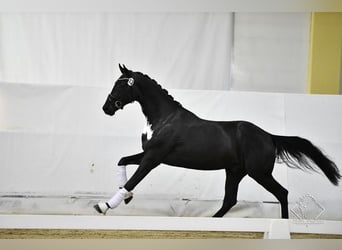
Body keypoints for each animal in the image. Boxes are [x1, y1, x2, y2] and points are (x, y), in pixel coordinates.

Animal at [93, 64, 340, 219]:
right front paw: (126, 199)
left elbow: (132, 181)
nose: (106, 107)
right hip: (235, 172)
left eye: (121, 84)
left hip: (259, 173)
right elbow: (122, 161)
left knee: (282, 193)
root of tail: (268, 136)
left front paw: (104, 206)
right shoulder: (149, 155)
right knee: (230, 200)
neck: (164, 119)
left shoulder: (153, 158)